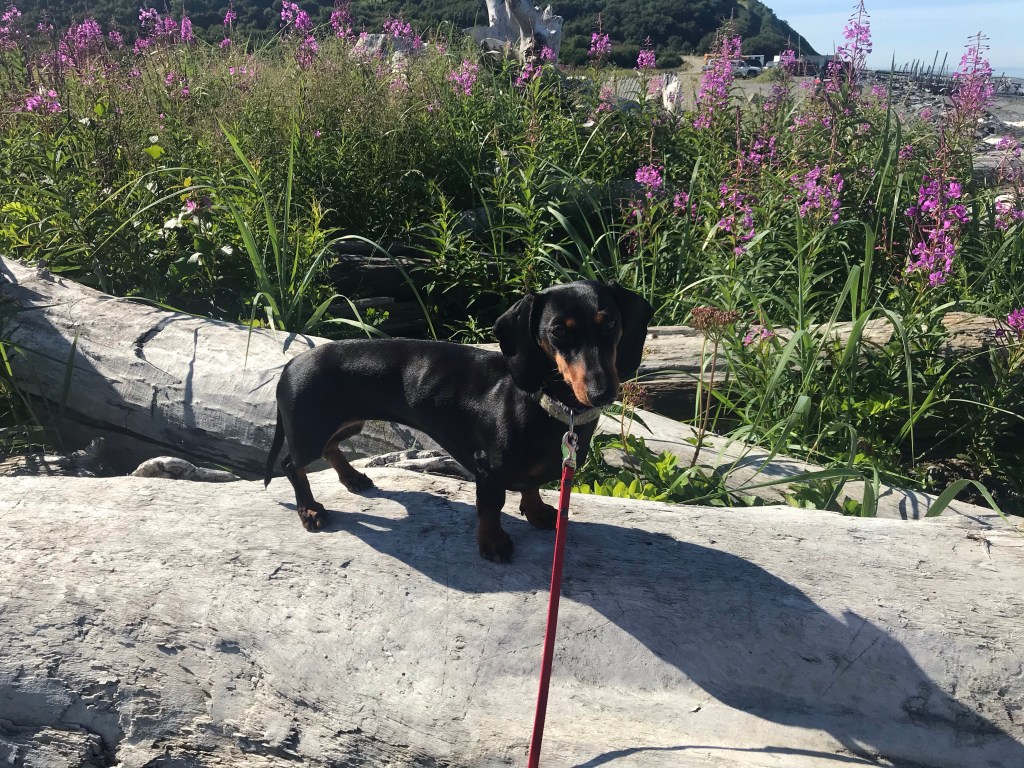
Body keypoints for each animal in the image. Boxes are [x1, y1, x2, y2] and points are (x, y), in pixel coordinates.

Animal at [265, 280, 653, 562]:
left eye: (611, 322)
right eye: (558, 331)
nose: (602, 392)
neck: (542, 402)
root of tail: (292, 363)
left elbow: (530, 486)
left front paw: (536, 511)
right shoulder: (487, 469)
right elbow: (491, 507)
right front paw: (493, 542)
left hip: (347, 423)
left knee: (331, 447)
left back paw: (352, 478)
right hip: (310, 430)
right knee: (292, 465)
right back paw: (309, 509)